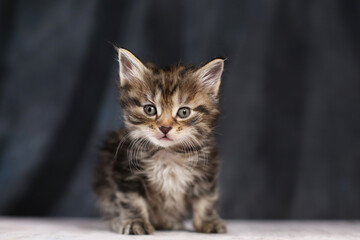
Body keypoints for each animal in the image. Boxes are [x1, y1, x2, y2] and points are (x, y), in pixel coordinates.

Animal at [94, 48, 226, 234]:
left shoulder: (206, 172)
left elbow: (206, 199)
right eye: (149, 109)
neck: (167, 154)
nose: (164, 127)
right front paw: (136, 223)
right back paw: (117, 221)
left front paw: (208, 222)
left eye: (184, 112)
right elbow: (132, 201)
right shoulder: (126, 171)